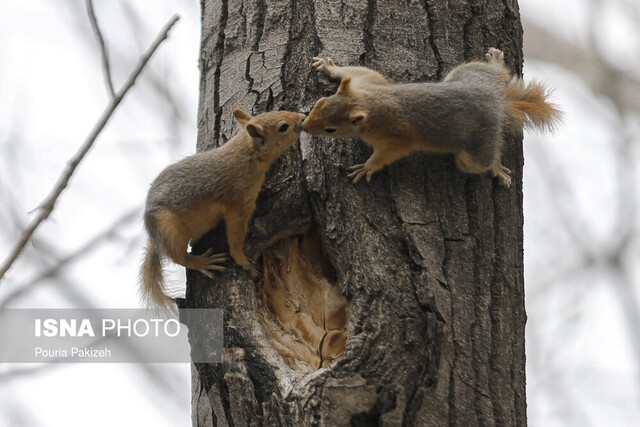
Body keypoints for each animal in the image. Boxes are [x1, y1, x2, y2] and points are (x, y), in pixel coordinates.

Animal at [141, 107, 306, 308]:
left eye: (277, 110)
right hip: (168, 228)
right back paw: (201, 262)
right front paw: (241, 259)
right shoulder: (238, 201)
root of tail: (153, 237)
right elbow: (235, 234)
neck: (247, 154)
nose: (303, 117)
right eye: (283, 127)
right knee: (178, 257)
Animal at [302, 47, 564, 186]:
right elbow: (357, 70)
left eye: (331, 130)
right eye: (319, 102)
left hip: (475, 151)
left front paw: (367, 168)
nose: (304, 126)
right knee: (495, 73)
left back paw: (497, 167)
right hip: (468, 73)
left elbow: (390, 153)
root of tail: (498, 103)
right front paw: (329, 67)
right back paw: (496, 62)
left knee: (482, 161)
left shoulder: (396, 134)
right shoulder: (366, 82)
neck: (370, 103)